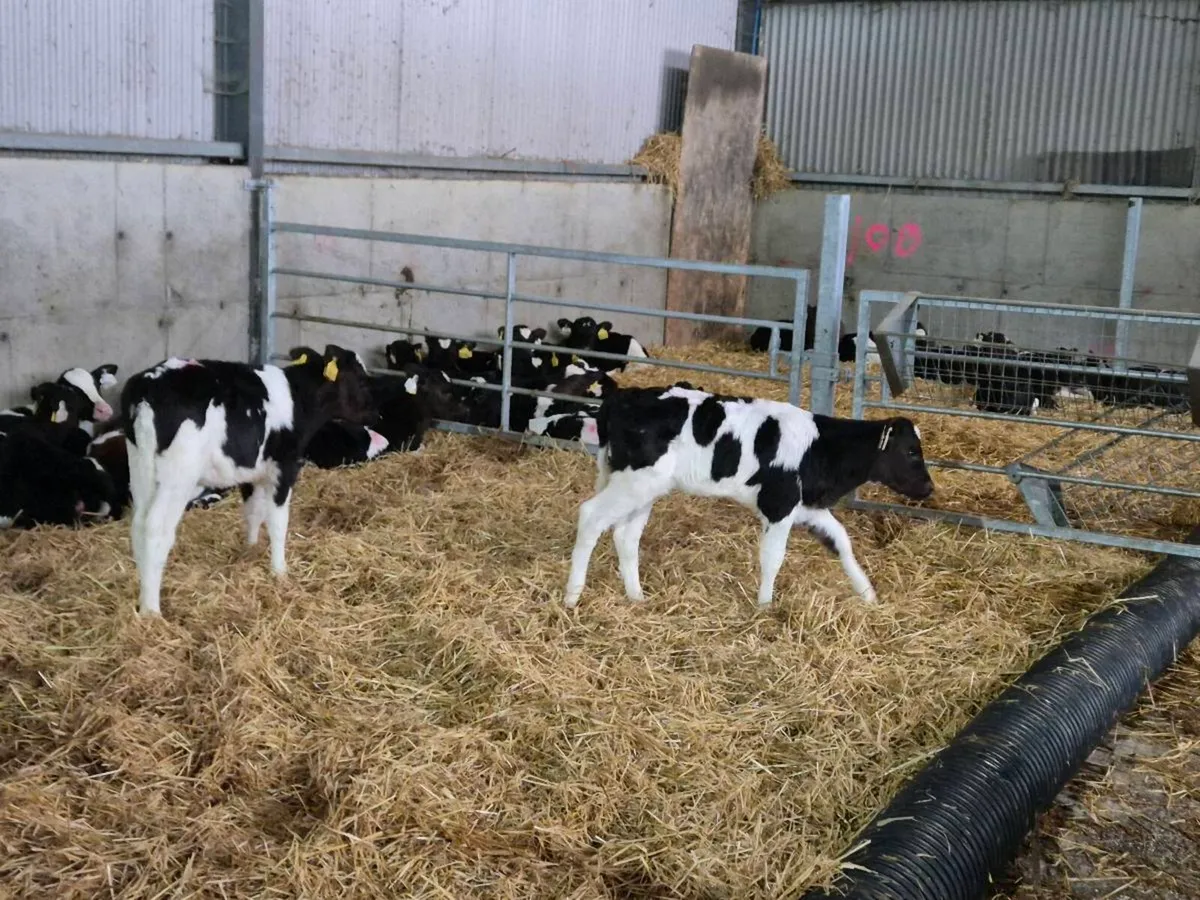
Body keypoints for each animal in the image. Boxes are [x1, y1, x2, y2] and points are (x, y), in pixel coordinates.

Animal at [119, 345, 375, 616]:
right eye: (361, 379)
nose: (377, 414)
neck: (298, 399)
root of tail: (148, 385)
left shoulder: (252, 473)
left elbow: (253, 512)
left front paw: (250, 551)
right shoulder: (284, 467)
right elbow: (278, 522)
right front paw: (279, 571)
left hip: (140, 467)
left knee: (138, 524)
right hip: (177, 476)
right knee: (155, 527)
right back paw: (151, 610)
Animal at [562, 385, 934, 610]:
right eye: (911, 451)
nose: (929, 489)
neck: (820, 447)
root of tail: (625, 395)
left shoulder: (806, 508)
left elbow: (842, 542)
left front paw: (867, 592)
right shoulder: (778, 505)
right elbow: (773, 557)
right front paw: (765, 606)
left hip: (643, 488)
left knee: (625, 536)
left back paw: (636, 596)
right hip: (633, 482)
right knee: (590, 516)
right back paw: (572, 596)